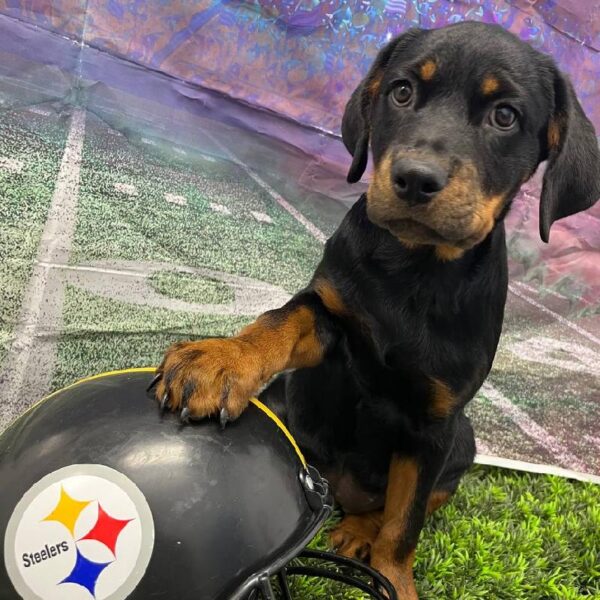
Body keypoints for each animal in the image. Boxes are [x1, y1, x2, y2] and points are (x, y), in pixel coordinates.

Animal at [151, 21, 600, 596]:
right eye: (401, 91)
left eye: (505, 116)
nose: (415, 178)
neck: (413, 268)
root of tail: (337, 489)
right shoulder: (330, 316)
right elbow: (280, 321)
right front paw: (218, 360)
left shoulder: (434, 425)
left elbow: (404, 524)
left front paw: (396, 580)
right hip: (286, 402)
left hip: (463, 443)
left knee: (391, 507)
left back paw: (357, 530)